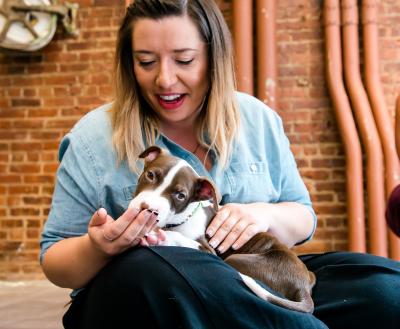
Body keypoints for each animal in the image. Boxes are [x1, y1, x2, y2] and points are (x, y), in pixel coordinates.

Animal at [130, 146, 318, 312]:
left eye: (180, 196)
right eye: (150, 175)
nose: (147, 208)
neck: (181, 219)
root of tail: (303, 286)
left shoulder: (208, 249)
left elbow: (181, 238)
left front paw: (162, 237)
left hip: (236, 259)